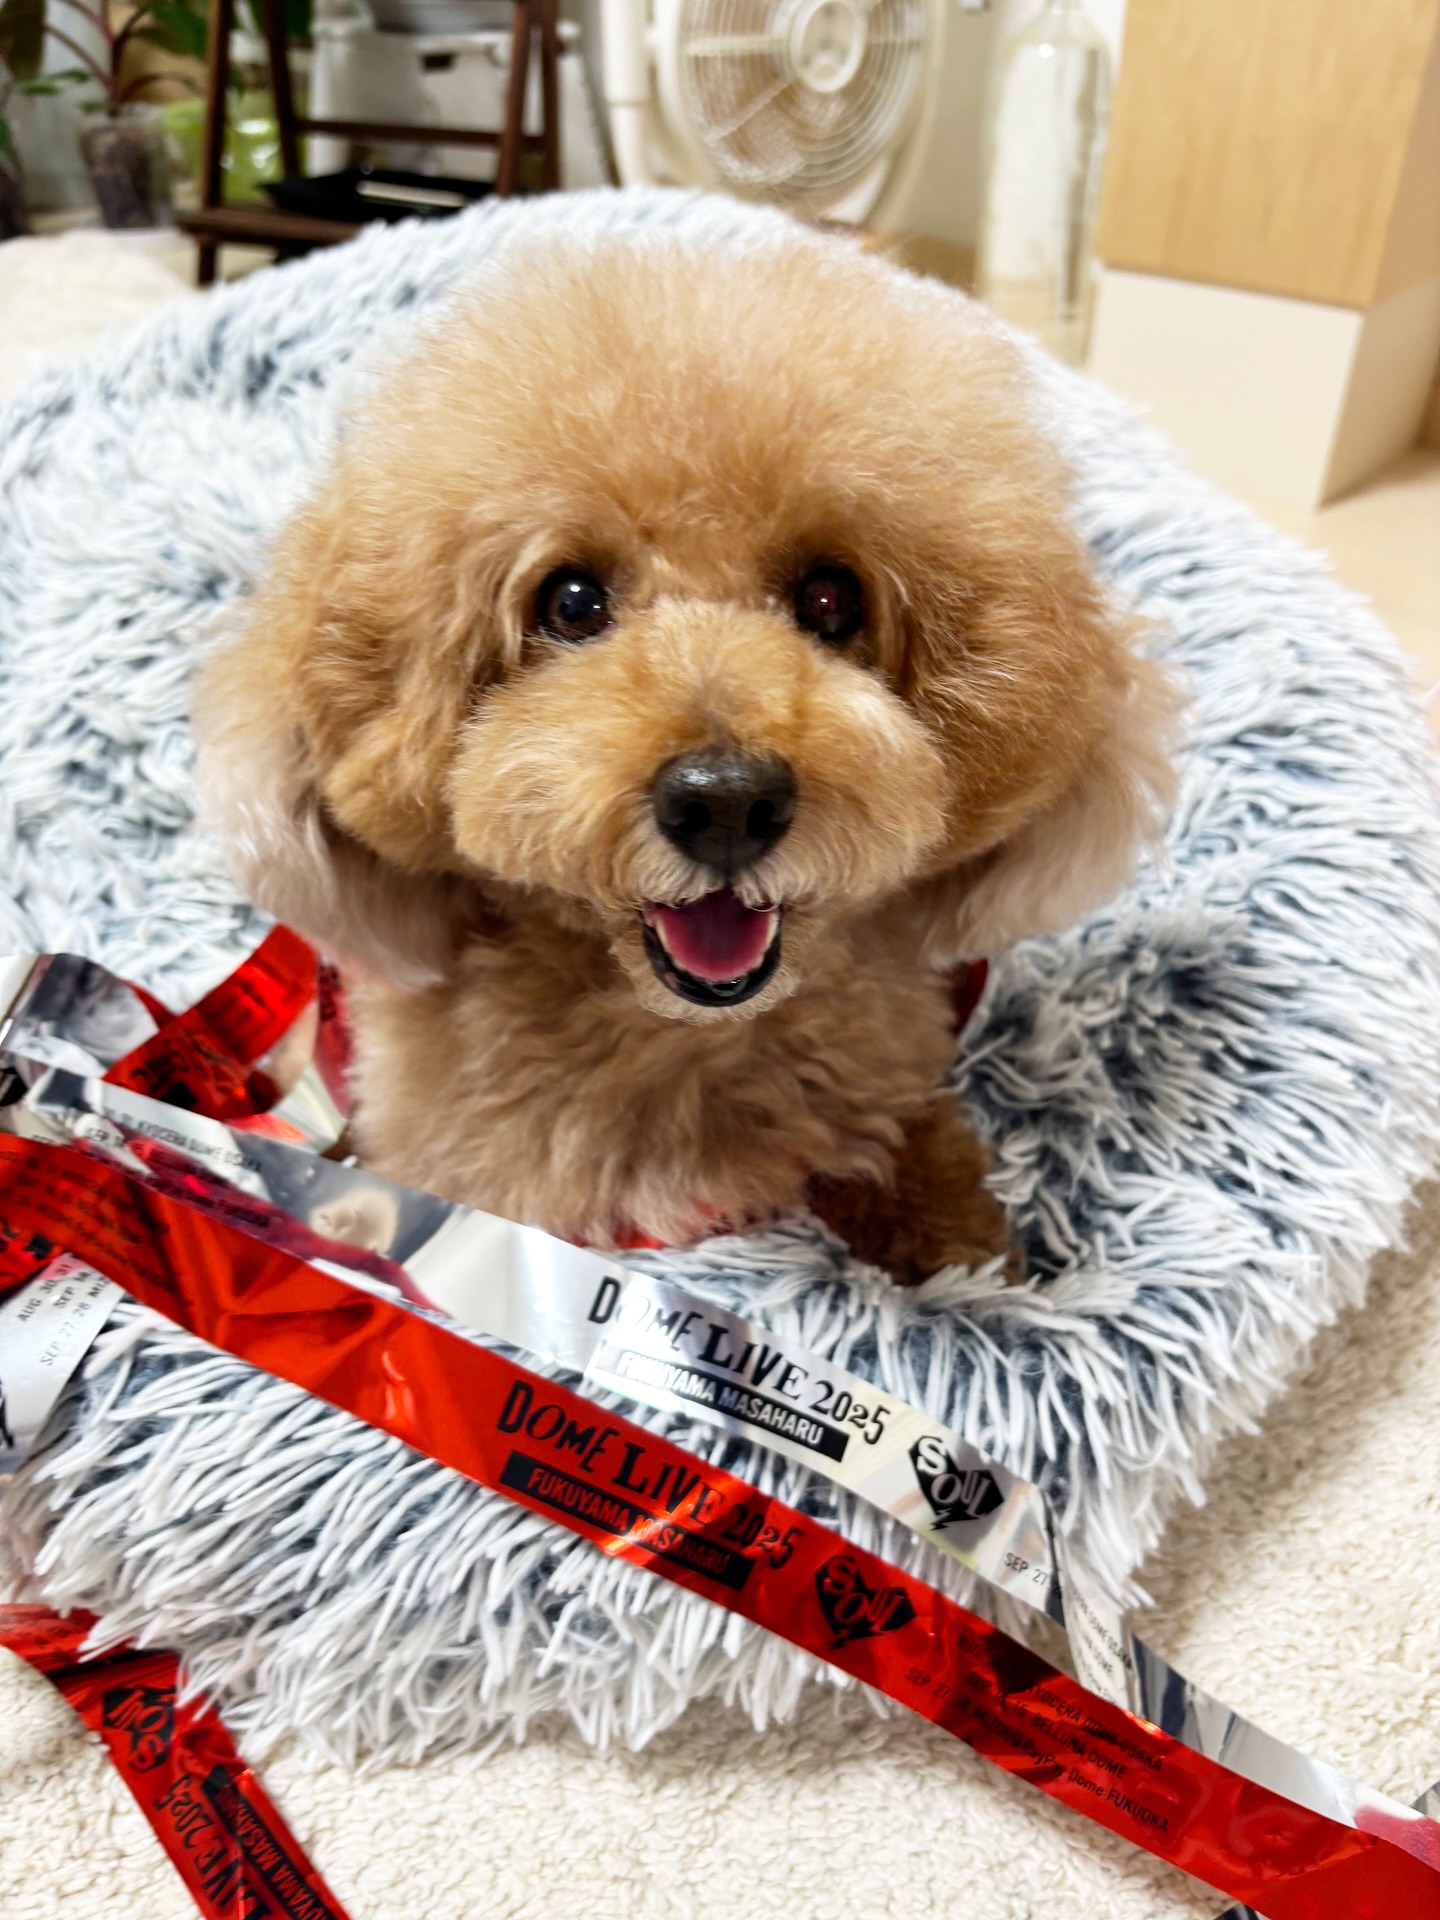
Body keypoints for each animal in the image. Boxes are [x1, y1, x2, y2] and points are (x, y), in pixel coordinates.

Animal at [195, 217, 1174, 1283]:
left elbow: (912, 1155)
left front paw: (963, 1254)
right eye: (570, 601)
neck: (674, 1035)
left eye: (830, 598)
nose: (725, 803)